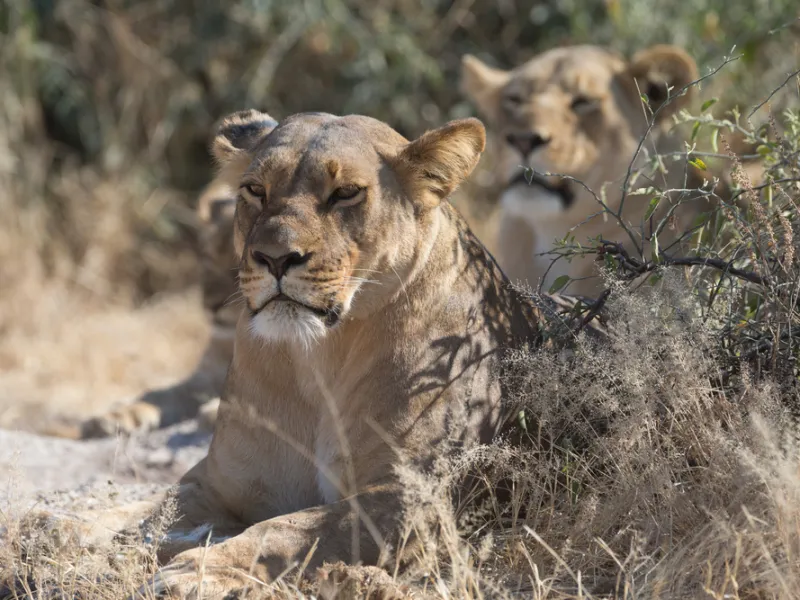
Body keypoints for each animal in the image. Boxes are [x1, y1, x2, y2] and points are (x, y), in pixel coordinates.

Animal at [24, 110, 606, 598]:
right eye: (255, 189)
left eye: (345, 193)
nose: (274, 257)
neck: (316, 360)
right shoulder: (216, 482)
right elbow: (147, 511)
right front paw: (57, 528)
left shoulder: (408, 500)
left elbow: (282, 529)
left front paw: (194, 571)